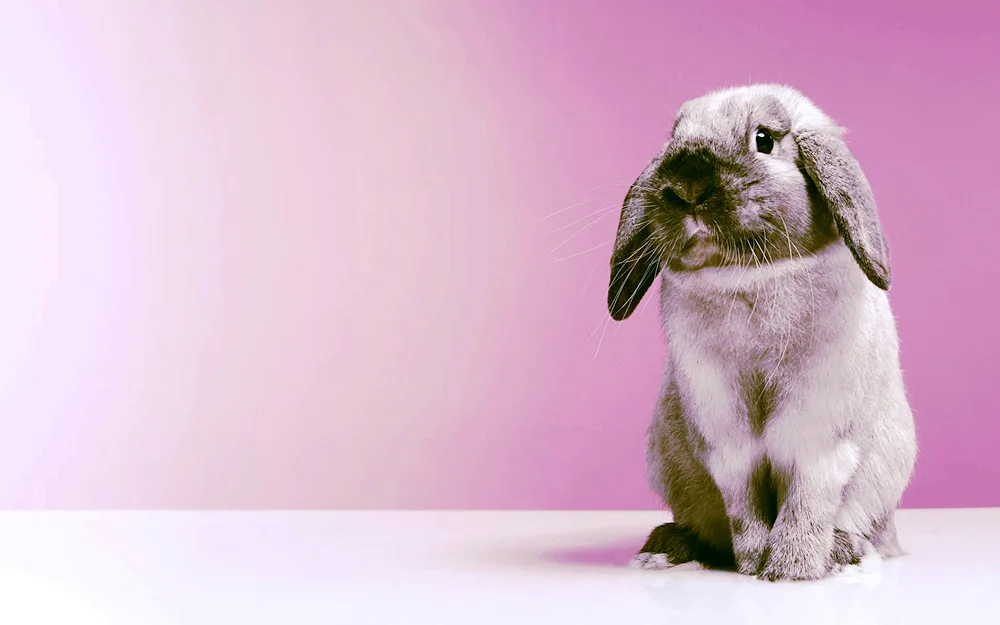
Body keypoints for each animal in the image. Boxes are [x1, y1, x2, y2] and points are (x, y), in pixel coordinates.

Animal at [604, 83, 916, 580]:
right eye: (674, 137)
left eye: (764, 139)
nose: (687, 186)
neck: (749, 278)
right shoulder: (724, 436)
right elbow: (743, 498)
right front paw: (752, 563)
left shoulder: (819, 432)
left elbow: (807, 497)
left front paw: (792, 569)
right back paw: (665, 549)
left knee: (867, 527)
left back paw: (843, 552)